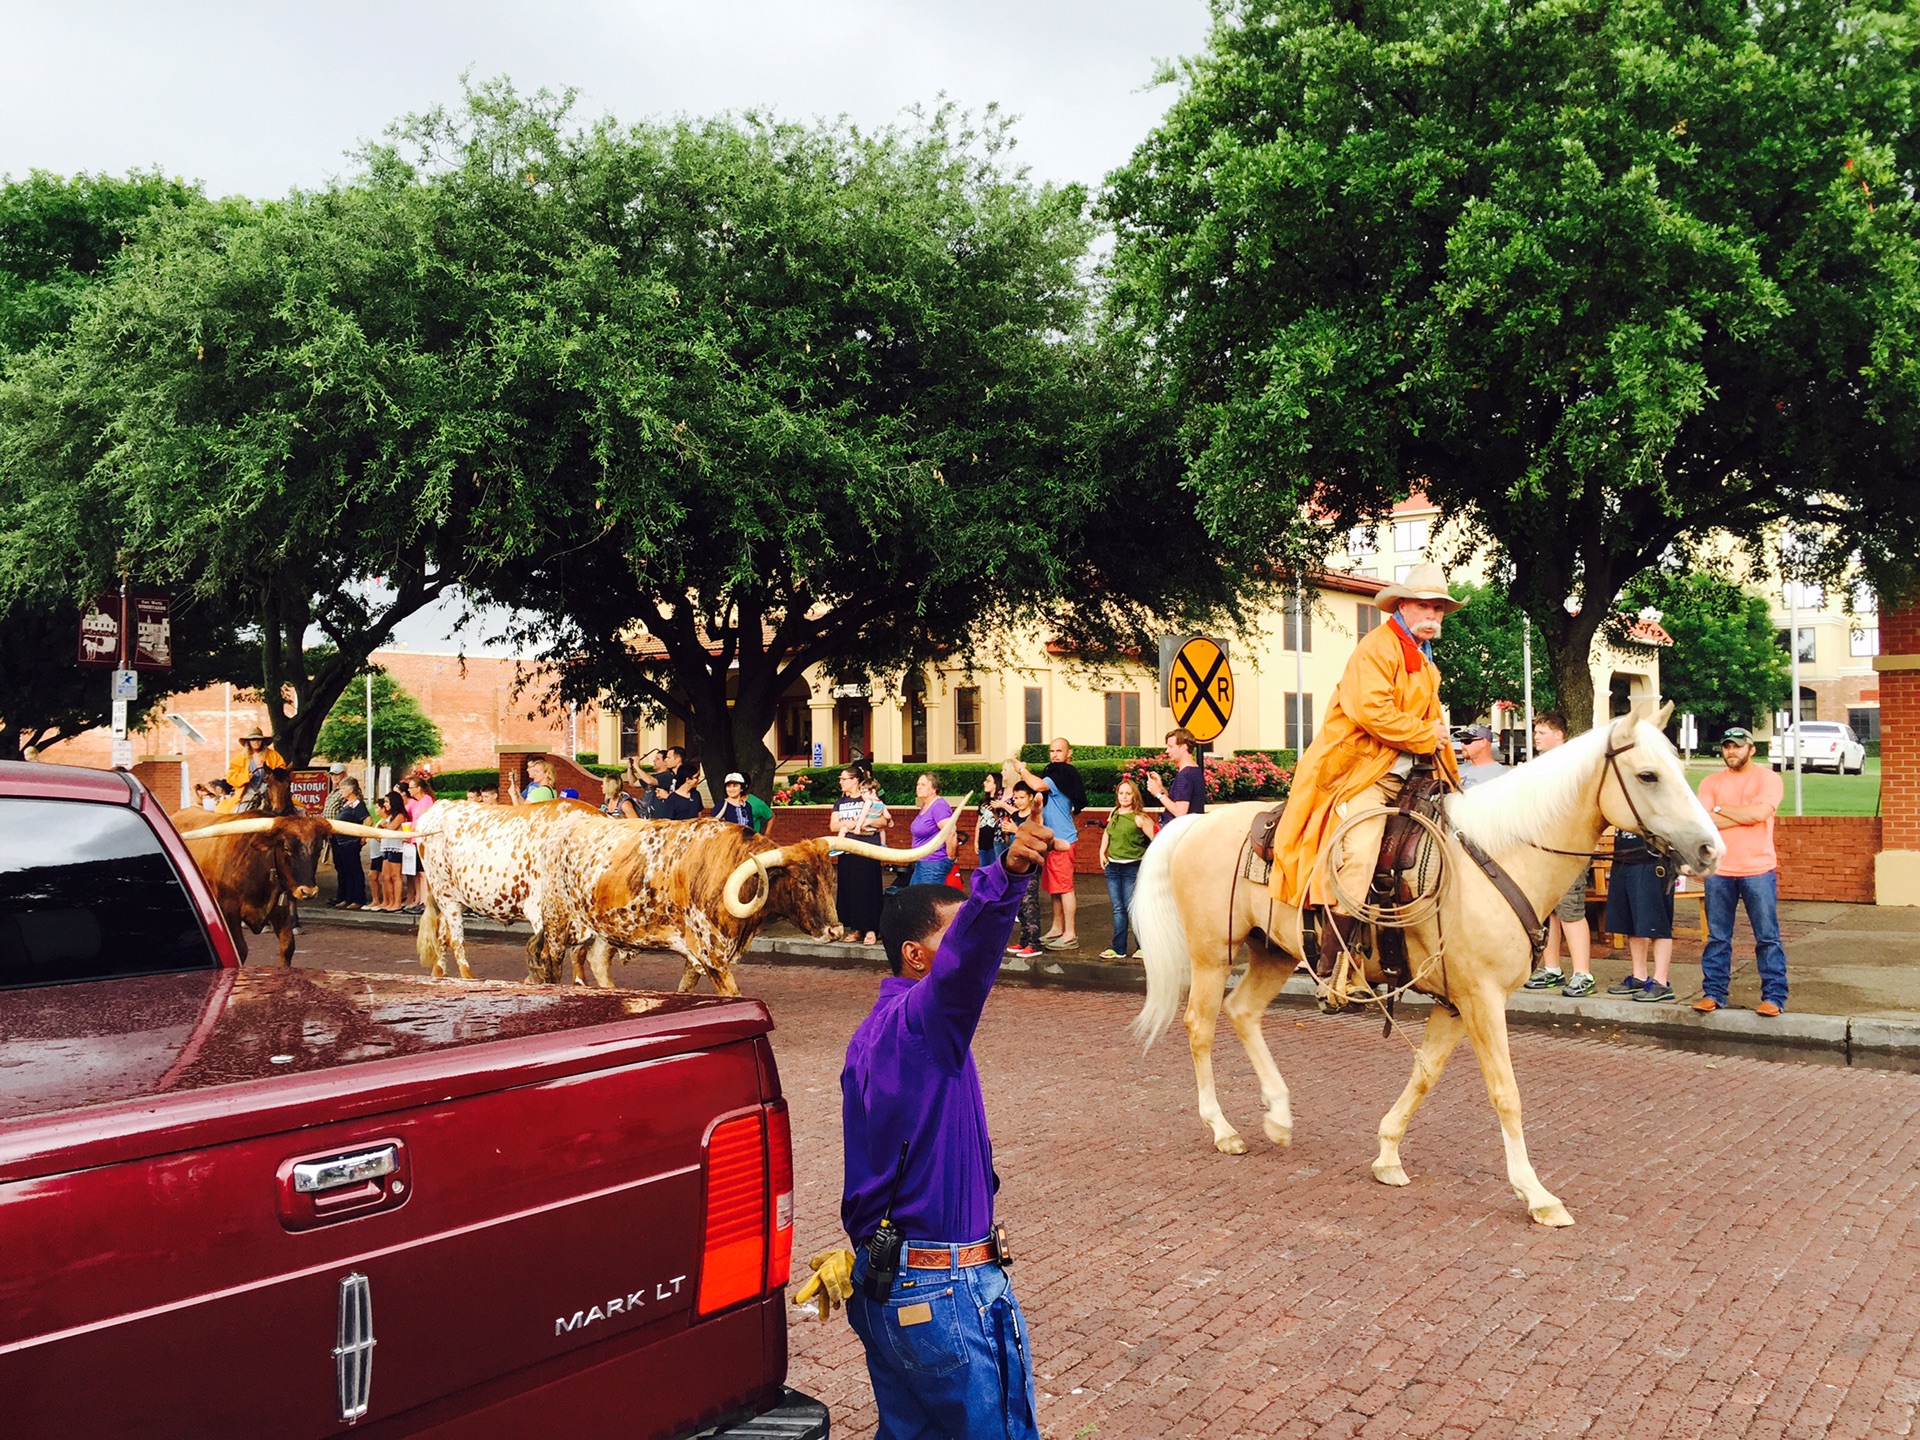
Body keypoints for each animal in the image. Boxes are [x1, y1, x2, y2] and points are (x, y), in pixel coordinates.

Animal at [1121, 706, 1728, 1221]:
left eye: (1679, 768)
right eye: (1647, 775)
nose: (1710, 850)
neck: (1499, 857)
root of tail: (1194, 822)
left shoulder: (1457, 1004)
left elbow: (1425, 1073)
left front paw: (1388, 1154)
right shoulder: (1482, 999)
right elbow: (1506, 1093)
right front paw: (1535, 1194)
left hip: (1271, 951)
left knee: (1243, 1013)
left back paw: (1279, 1117)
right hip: (1211, 954)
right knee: (1200, 1026)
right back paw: (1222, 1128)